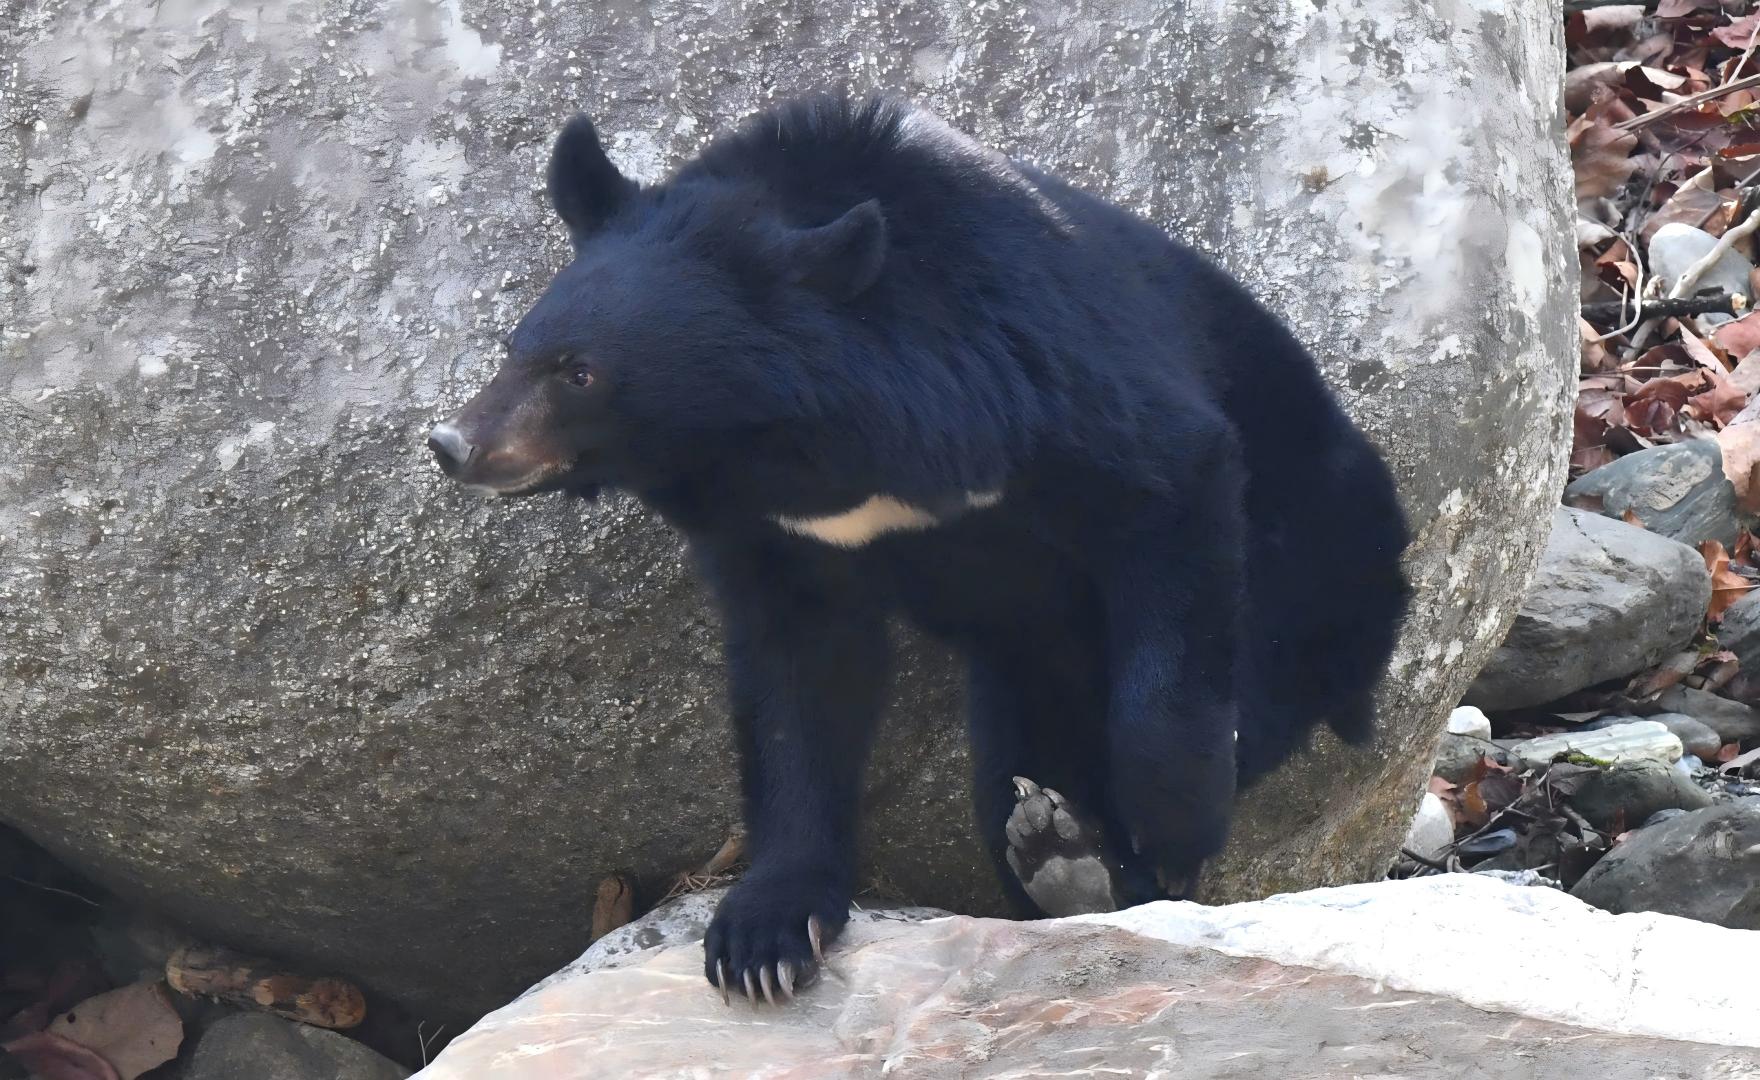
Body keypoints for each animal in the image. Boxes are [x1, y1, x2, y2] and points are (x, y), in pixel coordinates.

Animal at [428, 91, 1410, 1004]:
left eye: (580, 372)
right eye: (514, 348)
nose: (453, 444)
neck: (789, 448)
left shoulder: (1050, 380)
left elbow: (1169, 492)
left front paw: (1171, 831)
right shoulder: (778, 539)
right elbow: (796, 686)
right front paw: (763, 937)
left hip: (1315, 552)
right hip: (1026, 663)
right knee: (1015, 754)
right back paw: (1058, 854)